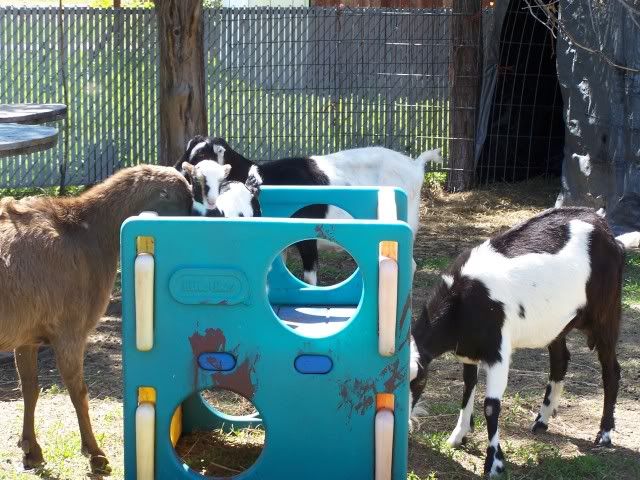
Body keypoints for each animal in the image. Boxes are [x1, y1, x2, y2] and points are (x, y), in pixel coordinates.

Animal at [0, 165, 194, 473]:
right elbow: (78, 391)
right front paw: (96, 455)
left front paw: (31, 451)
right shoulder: (70, 330)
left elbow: (30, 388)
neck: (87, 232)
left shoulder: (27, 335)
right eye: (185, 203)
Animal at [177, 136, 440, 285]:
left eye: (201, 154)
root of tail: (415, 164)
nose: (178, 169)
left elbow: (310, 279)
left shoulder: (306, 238)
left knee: (411, 265)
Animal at [409, 207, 625, 477]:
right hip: (556, 323)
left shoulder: (498, 351)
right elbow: (468, 387)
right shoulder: (469, 349)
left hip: (606, 314)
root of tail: (602, 224)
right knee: (560, 360)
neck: (461, 301)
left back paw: (604, 434)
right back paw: (542, 420)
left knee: (611, 370)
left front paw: (494, 463)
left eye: (420, 380)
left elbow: (491, 406)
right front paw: (459, 435)